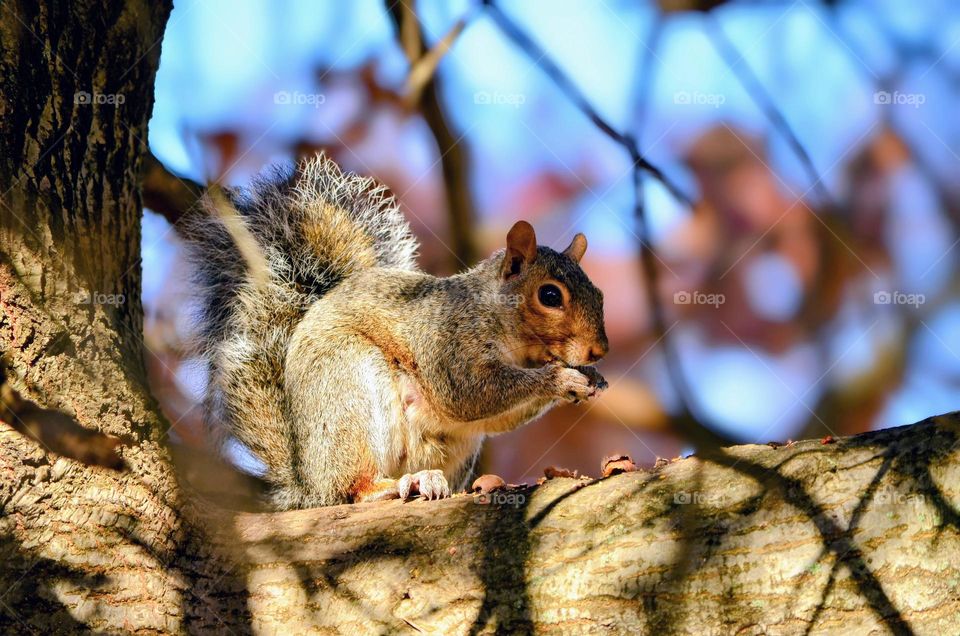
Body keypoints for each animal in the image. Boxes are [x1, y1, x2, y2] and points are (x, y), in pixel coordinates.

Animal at [184, 155, 609, 509]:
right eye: (550, 295)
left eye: (599, 293)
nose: (598, 351)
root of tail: (307, 483)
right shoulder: (446, 341)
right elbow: (469, 395)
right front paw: (560, 379)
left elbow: (496, 416)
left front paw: (590, 379)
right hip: (348, 390)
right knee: (351, 487)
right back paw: (393, 485)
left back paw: (427, 480)